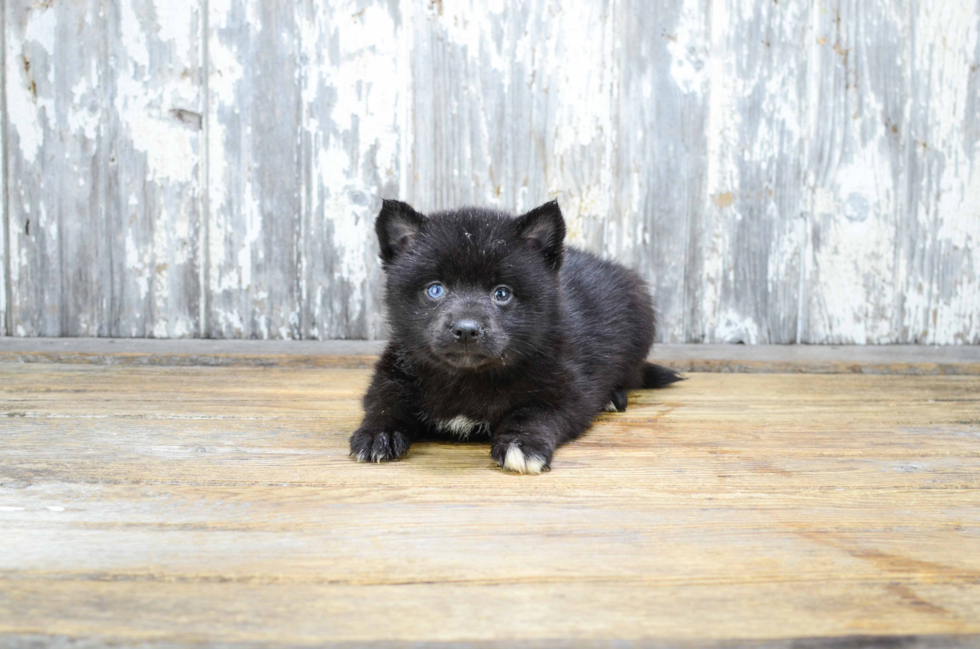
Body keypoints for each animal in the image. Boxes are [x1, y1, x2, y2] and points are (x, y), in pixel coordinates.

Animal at [352, 200, 680, 474]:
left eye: (502, 293)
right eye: (435, 289)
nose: (467, 329)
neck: (467, 378)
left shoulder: (564, 390)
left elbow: (533, 414)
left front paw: (520, 444)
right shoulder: (392, 372)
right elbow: (385, 402)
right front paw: (379, 433)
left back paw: (613, 396)